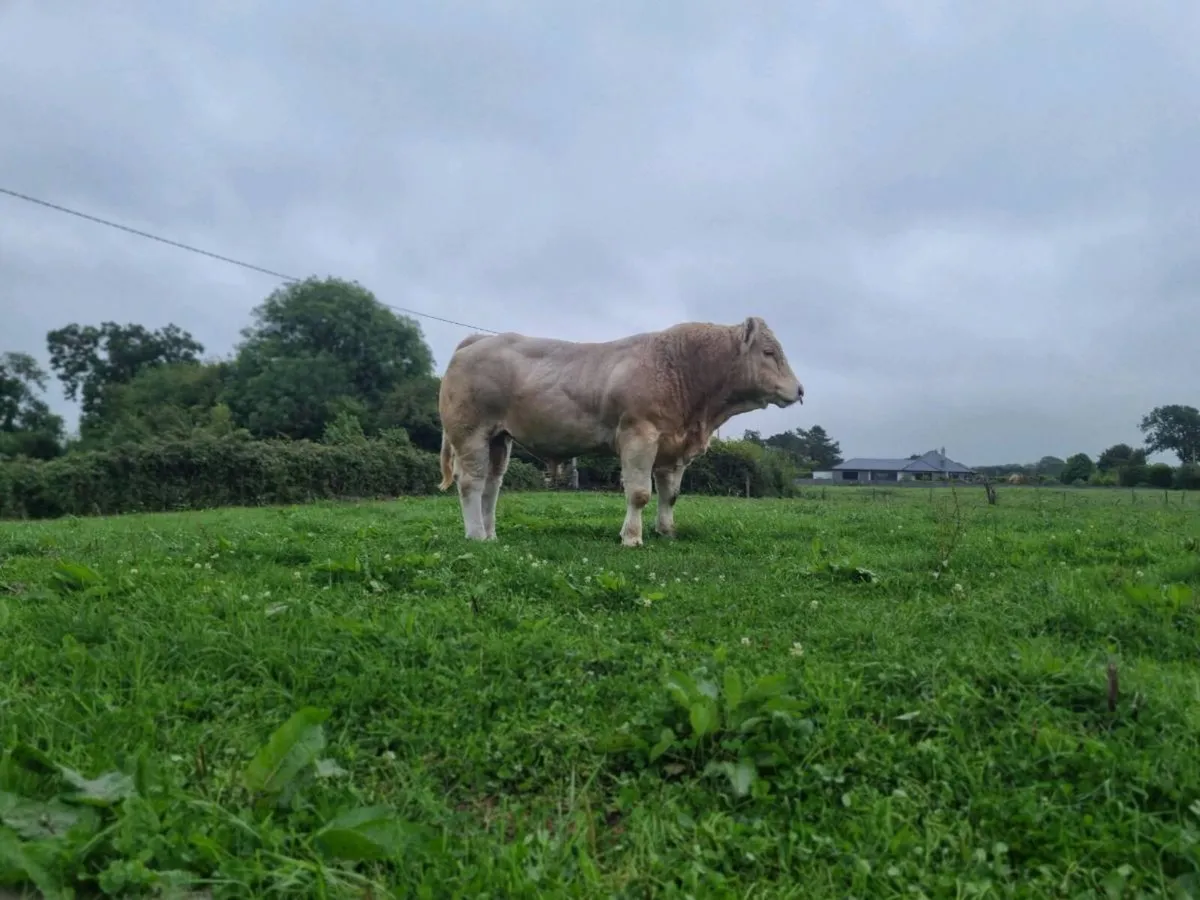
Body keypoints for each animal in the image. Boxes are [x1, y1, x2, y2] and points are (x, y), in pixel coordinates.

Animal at [436, 316, 805, 546]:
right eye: (769, 352)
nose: (800, 390)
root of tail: (479, 341)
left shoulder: (673, 448)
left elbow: (670, 495)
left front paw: (666, 531)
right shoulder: (638, 435)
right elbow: (640, 493)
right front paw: (632, 537)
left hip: (499, 439)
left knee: (492, 485)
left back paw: (491, 534)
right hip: (470, 432)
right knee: (471, 483)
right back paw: (475, 535)